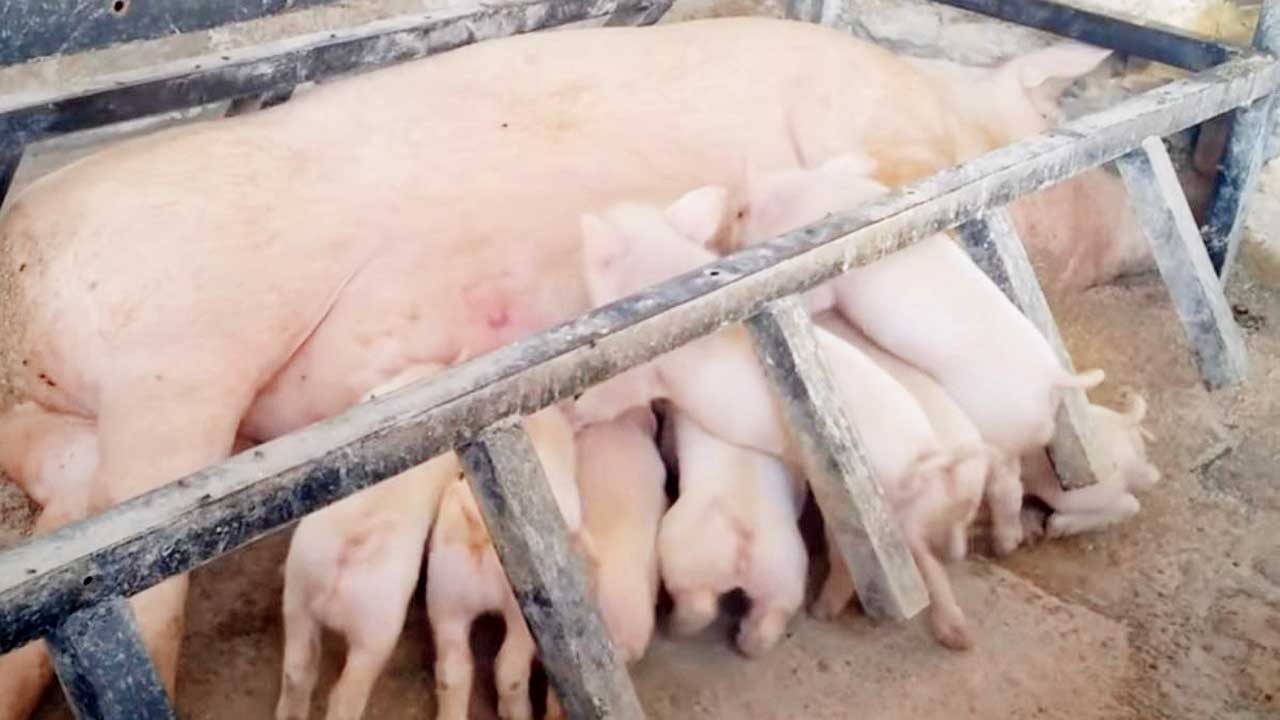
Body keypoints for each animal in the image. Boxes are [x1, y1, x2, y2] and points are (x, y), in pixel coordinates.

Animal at [0, 18, 1131, 707]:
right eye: (1053, 120)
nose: (1122, 235)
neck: (948, 113)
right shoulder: (888, 145)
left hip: (74, 443)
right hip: (180, 367)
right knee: (144, 611)